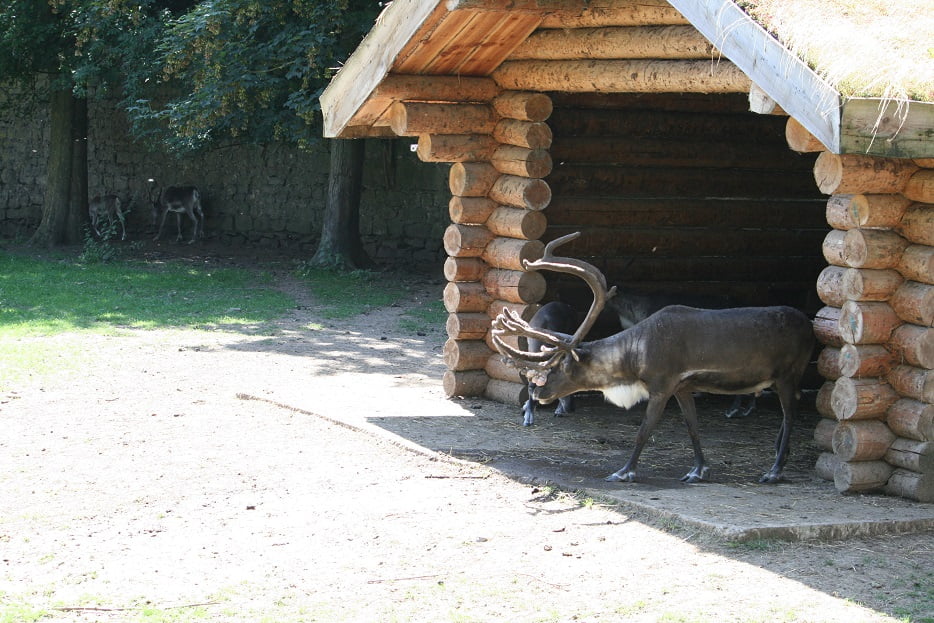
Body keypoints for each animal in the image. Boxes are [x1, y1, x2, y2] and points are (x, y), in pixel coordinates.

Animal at [491, 232, 814, 485]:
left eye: (561, 365)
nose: (538, 392)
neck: (635, 355)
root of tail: (810, 325)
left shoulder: (662, 385)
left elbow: (644, 431)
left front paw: (623, 471)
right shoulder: (683, 386)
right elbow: (693, 427)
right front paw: (698, 470)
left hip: (789, 373)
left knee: (791, 414)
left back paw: (774, 471)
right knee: (788, 413)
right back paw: (779, 455)